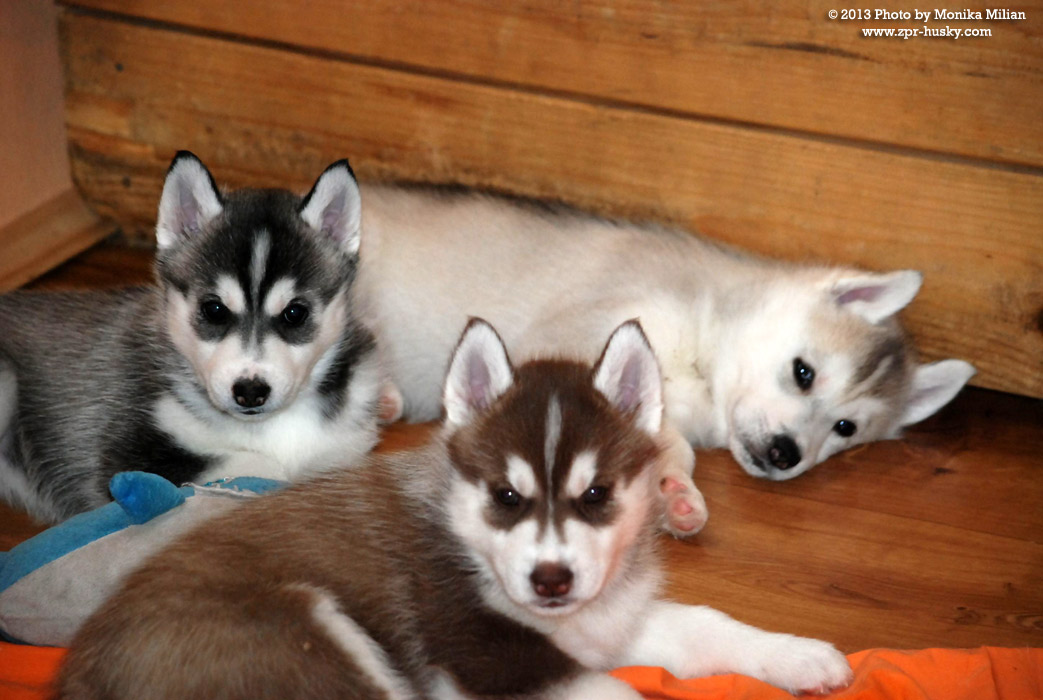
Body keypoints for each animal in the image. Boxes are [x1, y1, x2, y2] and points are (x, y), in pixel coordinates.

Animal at [0, 152, 388, 523]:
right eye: (214, 309)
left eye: (295, 313)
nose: (250, 391)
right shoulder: (125, 454)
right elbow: (264, 469)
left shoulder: (349, 441)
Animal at [56, 318, 853, 700]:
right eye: (507, 496)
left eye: (596, 495)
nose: (551, 582)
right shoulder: (489, 659)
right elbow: (615, 696)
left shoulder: (605, 622)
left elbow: (705, 624)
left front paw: (798, 655)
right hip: (312, 642)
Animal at [353, 184, 976, 533]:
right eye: (804, 373)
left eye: (845, 428)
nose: (786, 454)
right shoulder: (578, 334)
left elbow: (668, 444)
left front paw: (676, 494)